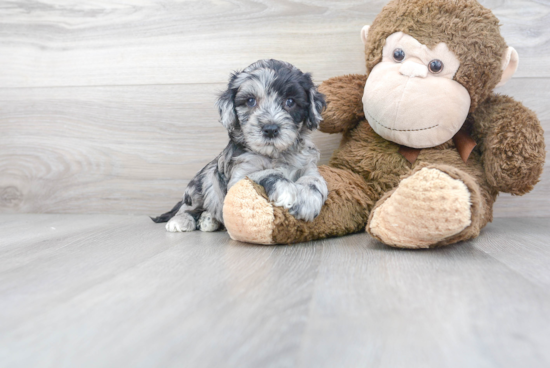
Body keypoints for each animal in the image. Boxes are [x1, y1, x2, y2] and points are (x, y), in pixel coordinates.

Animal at [152, 59, 328, 233]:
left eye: (290, 102)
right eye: (250, 101)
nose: (270, 129)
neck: (275, 155)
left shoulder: (308, 166)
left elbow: (315, 180)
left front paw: (308, 200)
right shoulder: (239, 178)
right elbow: (266, 173)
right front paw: (286, 190)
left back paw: (208, 220)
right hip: (201, 184)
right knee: (187, 207)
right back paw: (181, 221)